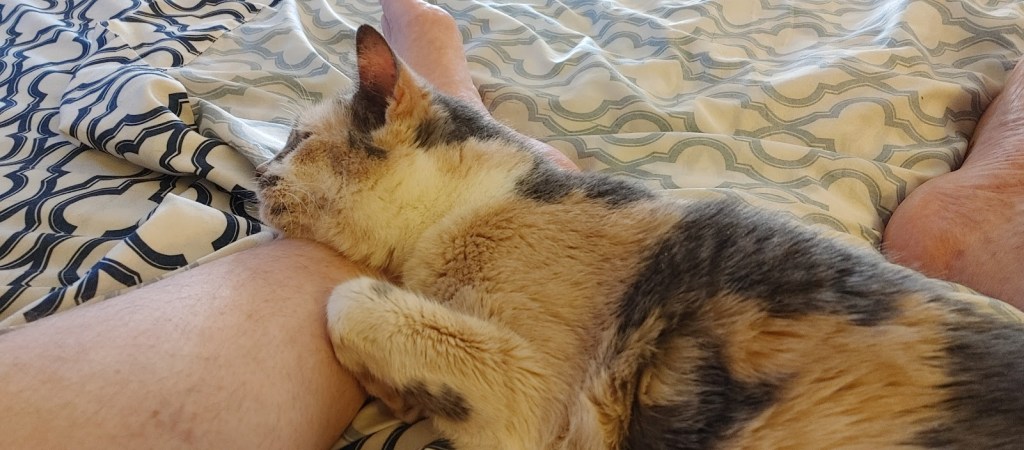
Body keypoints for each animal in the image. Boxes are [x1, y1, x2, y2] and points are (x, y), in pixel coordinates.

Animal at [255, 25, 1024, 449]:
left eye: (294, 142)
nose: (255, 177)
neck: (474, 204)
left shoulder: (532, 398)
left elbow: (352, 301)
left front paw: (396, 390)